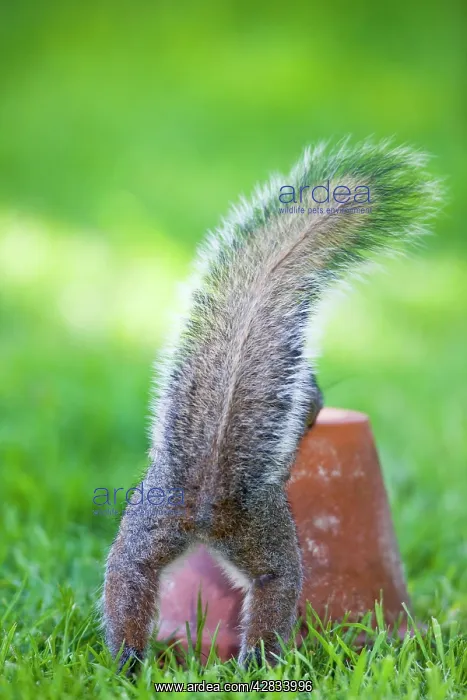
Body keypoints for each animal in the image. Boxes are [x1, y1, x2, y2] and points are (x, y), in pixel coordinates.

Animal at [103, 139, 438, 672]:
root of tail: (207, 489)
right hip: (267, 537)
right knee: (275, 589)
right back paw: (259, 664)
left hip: (146, 525)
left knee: (129, 579)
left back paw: (127, 663)